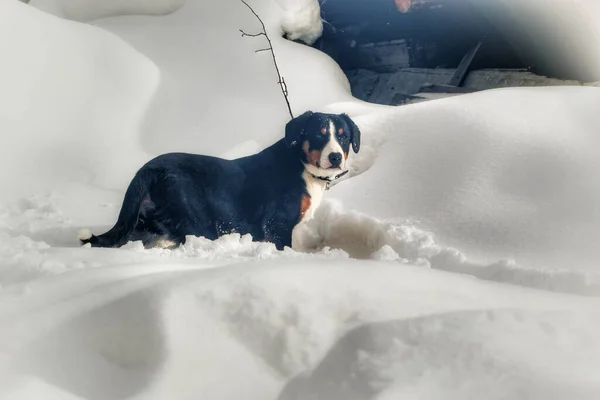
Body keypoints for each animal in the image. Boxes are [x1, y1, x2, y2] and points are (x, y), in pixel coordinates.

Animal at [79, 111, 360, 250]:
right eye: (318, 134)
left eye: (344, 137)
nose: (335, 157)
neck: (300, 164)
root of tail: (149, 168)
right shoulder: (276, 226)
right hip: (196, 217)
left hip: (146, 221)